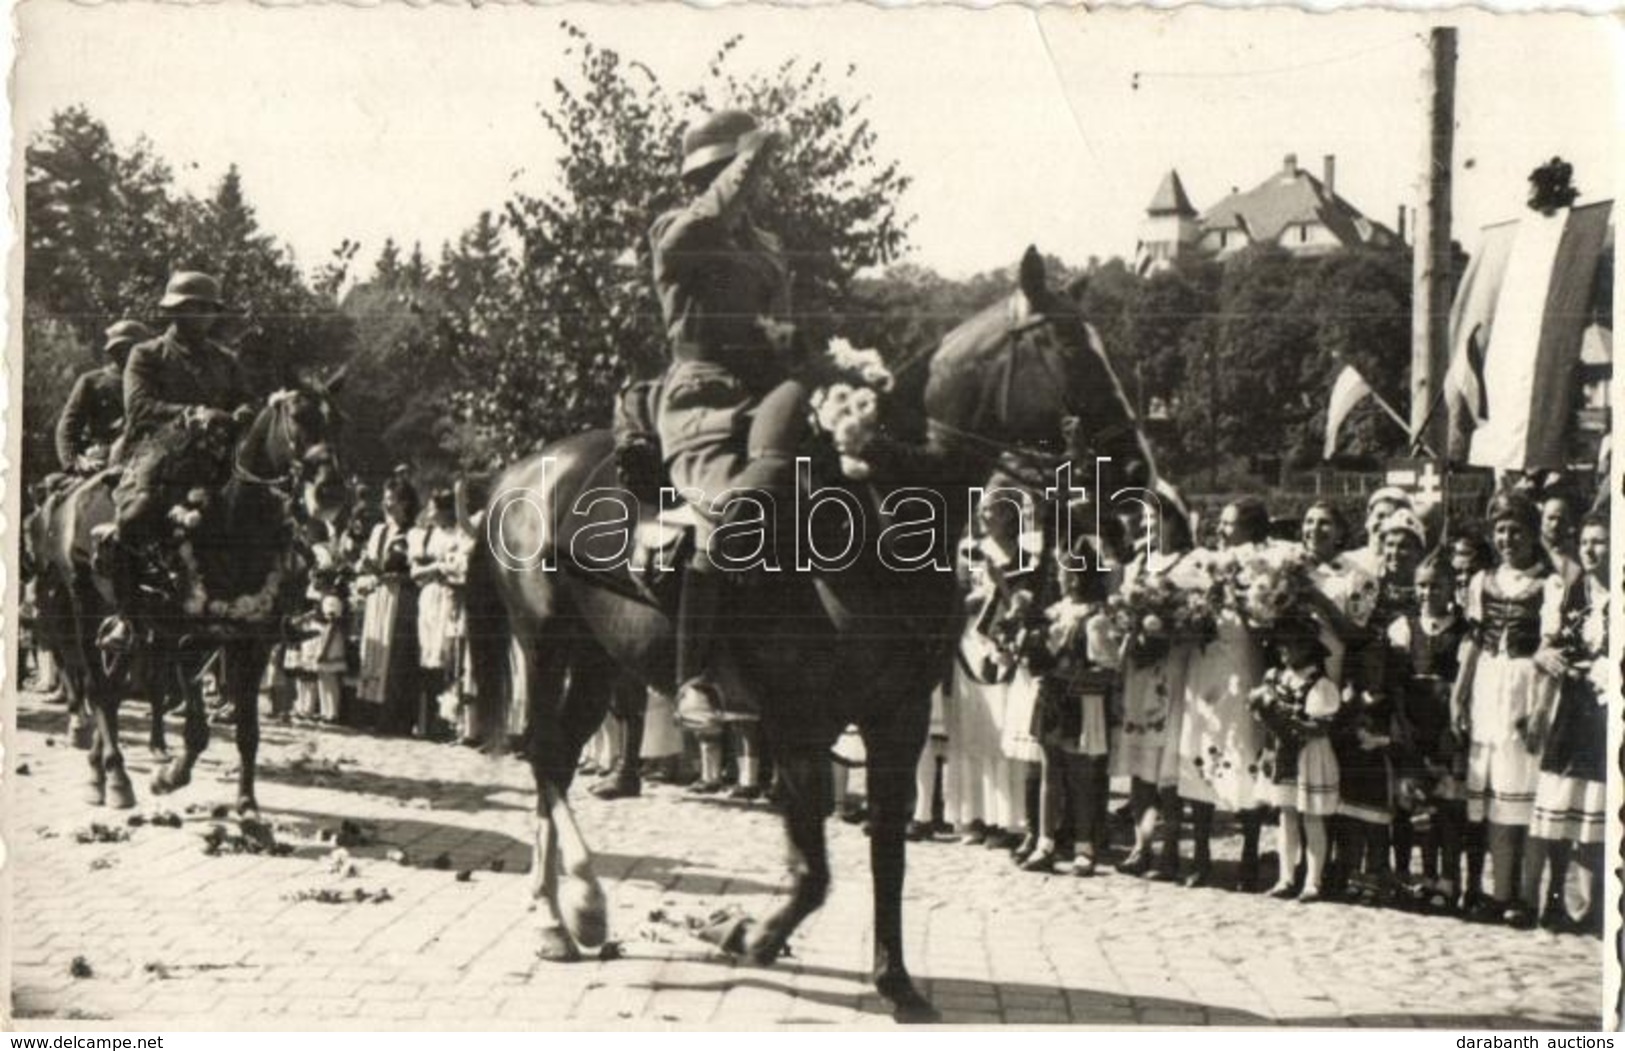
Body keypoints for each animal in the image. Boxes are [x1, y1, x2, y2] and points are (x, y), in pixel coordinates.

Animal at [30, 373, 352, 818]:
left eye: (336, 420)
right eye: (298, 417)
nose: (331, 491)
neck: (232, 526)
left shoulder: (248, 643)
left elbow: (247, 731)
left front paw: (247, 806)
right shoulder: (186, 641)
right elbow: (196, 728)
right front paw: (169, 777)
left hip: (131, 629)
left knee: (113, 689)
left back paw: (100, 767)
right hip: (82, 604)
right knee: (97, 687)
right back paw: (114, 777)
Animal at [464, 246, 1163, 1020]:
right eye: (1068, 345)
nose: (1138, 474)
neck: (878, 516)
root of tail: (519, 472)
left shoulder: (898, 723)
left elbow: (886, 851)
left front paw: (894, 979)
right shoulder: (797, 725)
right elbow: (812, 872)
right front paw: (743, 932)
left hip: (596, 660)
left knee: (556, 760)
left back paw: (564, 914)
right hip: (545, 643)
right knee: (541, 755)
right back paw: (572, 911)